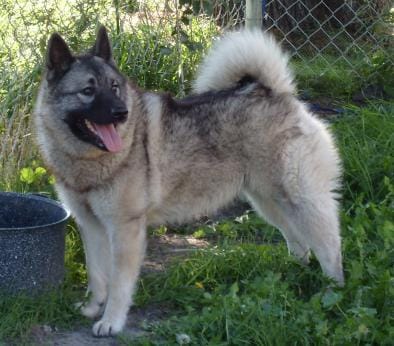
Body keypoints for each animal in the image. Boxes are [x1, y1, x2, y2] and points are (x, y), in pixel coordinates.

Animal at [33, 27, 344, 338]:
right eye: (88, 91)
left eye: (115, 87)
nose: (121, 112)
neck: (90, 159)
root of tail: (276, 93)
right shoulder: (92, 226)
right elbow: (97, 275)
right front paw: (92, 307)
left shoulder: (125, 229)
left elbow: (119, 284)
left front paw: (111, 321)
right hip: (269, 203)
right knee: (299, 244)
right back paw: (291, 278)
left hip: (301, 200)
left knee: (330, 247)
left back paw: (333, 292)